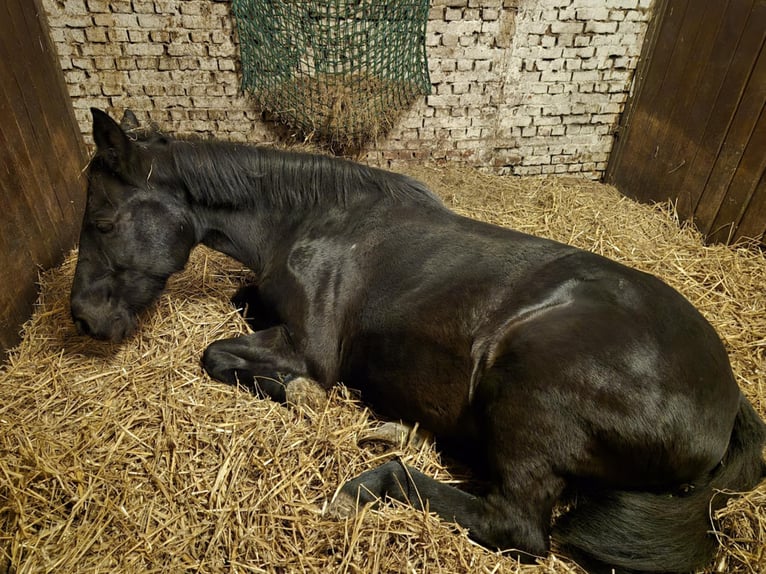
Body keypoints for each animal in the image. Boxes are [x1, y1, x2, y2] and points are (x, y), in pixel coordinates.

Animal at [69, 110, 764, 572]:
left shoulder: (311, 348)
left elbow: (219, 354)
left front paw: (303, 396)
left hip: (530, 388)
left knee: (515, 524)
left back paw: (371, 478)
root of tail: (727, 403)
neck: (313, 221)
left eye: (101, 221)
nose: (81, 319)